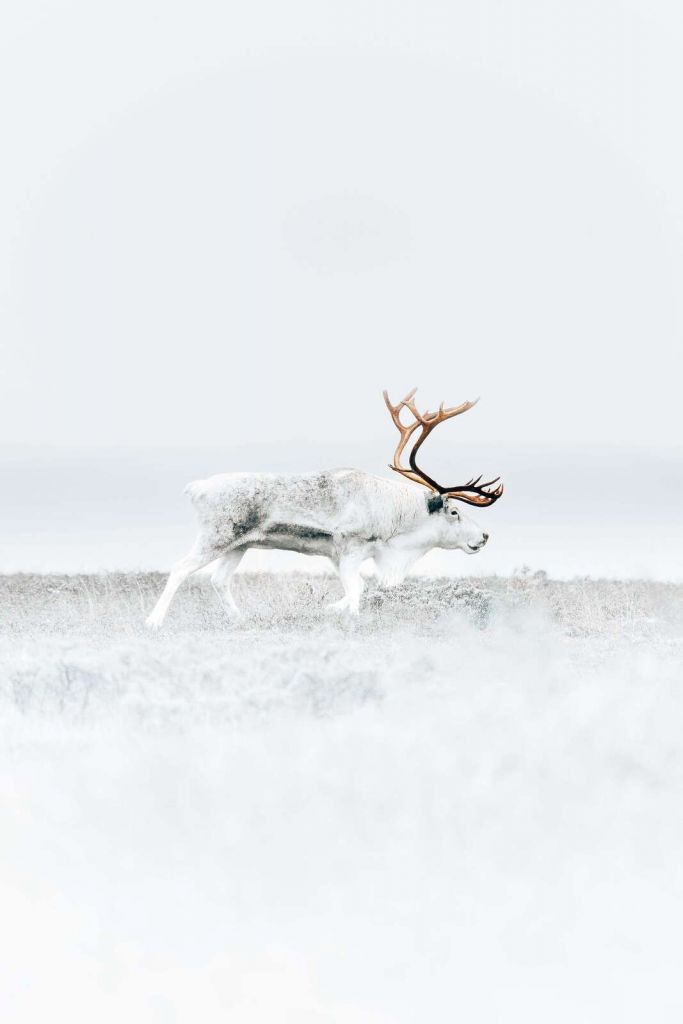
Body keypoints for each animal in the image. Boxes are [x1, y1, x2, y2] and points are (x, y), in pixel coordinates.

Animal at [145, 388, 503, 627]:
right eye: (454, 512)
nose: (484, 536)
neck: (393, 517)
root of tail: (197, 488)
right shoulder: (350, 549)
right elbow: (357, 591)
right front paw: (351, 621)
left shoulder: (338, 556)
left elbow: (357, 589)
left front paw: (331, 610)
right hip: (215, 538)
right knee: (180, 568)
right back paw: (155, 620)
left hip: (239, 545)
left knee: (218, 581)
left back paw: (240, 620)